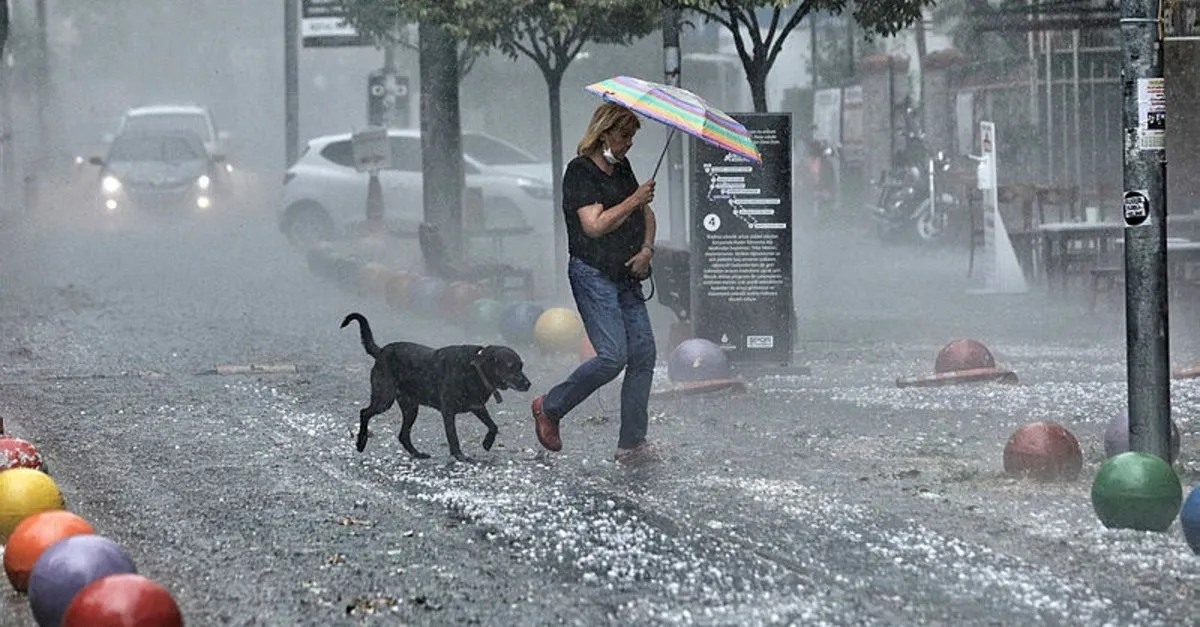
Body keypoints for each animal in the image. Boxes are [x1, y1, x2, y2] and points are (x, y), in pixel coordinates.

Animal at [336, 309, 528, 458]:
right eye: (510, 366)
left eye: (521, 366)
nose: (528, 384)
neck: (475, 370)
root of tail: (381, 351)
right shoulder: (448, 411)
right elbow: (453, 436)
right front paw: (459, 456)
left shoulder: (477, 406)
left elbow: (493, 426)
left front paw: (487, 443)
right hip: (384, 398)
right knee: (364, 412)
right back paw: (361, 442)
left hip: (410, 408)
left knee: (403, 435)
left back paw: (417, 454)